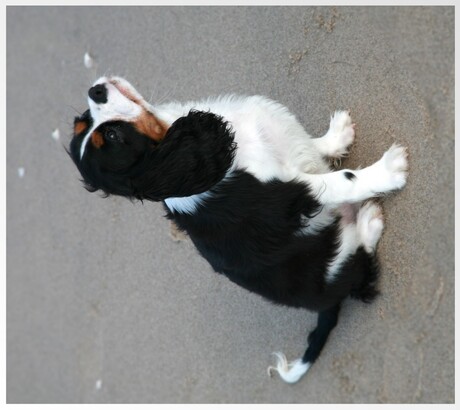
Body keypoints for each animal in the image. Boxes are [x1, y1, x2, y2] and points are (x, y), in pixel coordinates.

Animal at [69, 77, 410, 384]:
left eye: (100, 129)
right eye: (113, 134)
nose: (94, 90)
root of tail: (326, 304)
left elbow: (308, 145)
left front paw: (337, 136)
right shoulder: (291, 195)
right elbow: (345, 179)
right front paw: (389, 170)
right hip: (334, 262)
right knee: (360, 271)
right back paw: (369, 222)